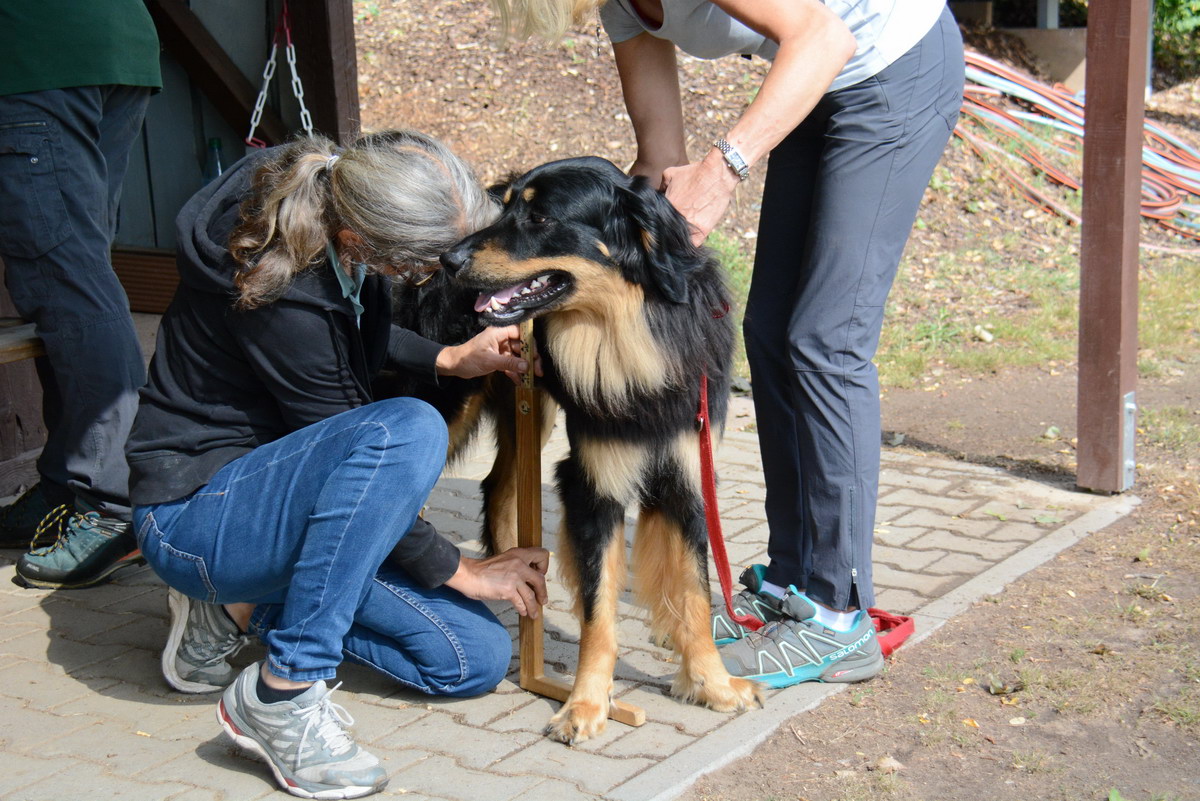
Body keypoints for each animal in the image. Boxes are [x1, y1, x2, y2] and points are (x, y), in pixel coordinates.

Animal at [386, 155, 758, 743]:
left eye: (539, 218)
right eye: (507, 209)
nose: (451, 261)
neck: (628, 330)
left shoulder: (686, 474)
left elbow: (695, 592)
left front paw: (711, 682)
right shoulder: (592, 483)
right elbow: (597, 610)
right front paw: (585, 703)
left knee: (498, 486)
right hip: (449, 400)